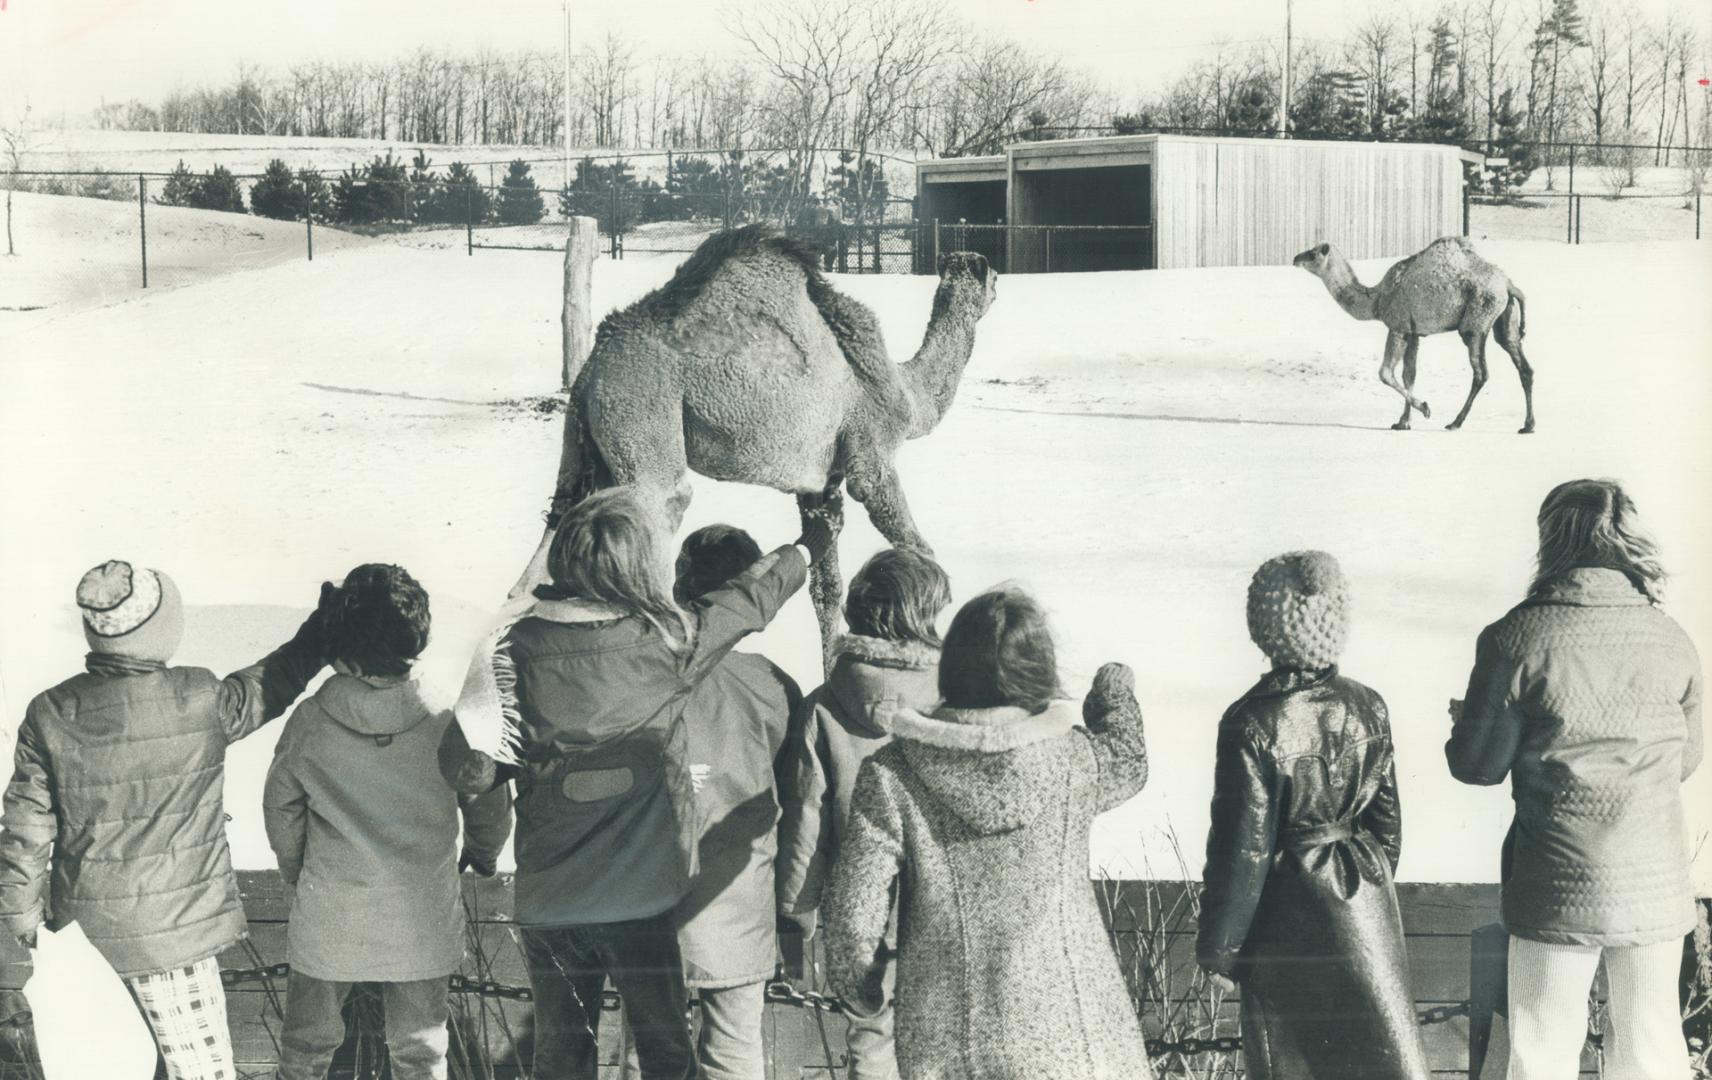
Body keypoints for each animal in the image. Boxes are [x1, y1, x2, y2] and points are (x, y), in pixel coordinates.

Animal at [517, 224, 999, 664]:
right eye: (989, 276)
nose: (994, 281)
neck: (907, 394)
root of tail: (589, 371)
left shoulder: (820, 483)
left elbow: (826, 588)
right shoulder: (871, 454)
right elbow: (921, 550)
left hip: (584, 451)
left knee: (538, 565)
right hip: (643, 422)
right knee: (658, 523)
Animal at [1294, 237, 1540, 433]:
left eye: (1313, 253)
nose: (1296, 257)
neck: (1377, 299)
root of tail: (1508, 285)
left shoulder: (1398, 326)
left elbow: (1385, 373)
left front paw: (1425, 408)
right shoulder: (1414, 333)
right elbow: (1409, 375)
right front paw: (1403, 422)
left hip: (1476, 322)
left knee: (1481, 372)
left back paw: (1455, 422)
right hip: (1504, 320)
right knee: (1522, 364)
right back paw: (1528, 425)